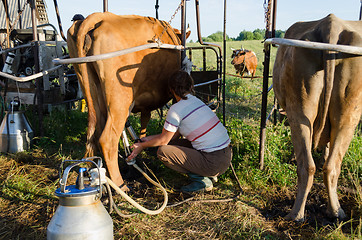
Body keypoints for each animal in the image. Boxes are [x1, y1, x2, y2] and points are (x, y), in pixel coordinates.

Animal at [68, 12, 187, 188]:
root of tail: (97, 17)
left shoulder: (145, 106)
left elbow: (144, 125)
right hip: (120, 100)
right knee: (107, 139)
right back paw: (120, 183)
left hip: (90, 87)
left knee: (96, 133)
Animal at [274, 13, 362, 221]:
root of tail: (332, 23)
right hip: (347, 113)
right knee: (329, 166)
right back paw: (333, 211)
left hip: (301, 109)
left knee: (309, 165)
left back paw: (298, 214)